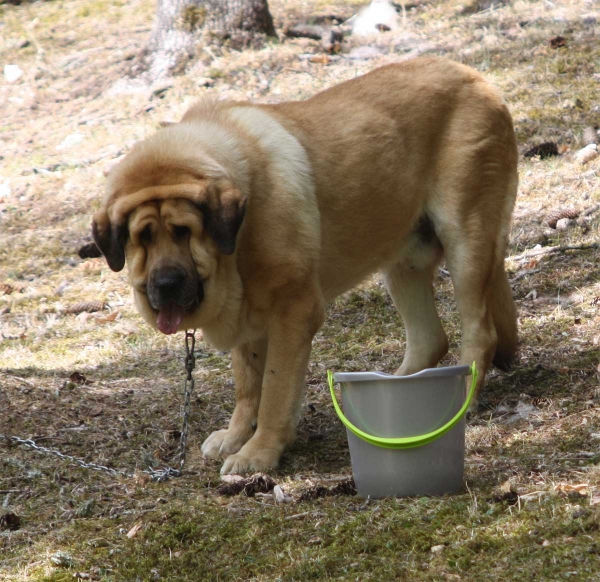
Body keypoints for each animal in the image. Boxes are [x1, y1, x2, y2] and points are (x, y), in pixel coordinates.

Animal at [91, 57, 516, 476]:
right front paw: (236, 435)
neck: (238, 238)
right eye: (142, 238)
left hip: (466, 242)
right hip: (402, 260)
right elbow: (248, 385)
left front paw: (258, 453)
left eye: (184, 231)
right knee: (430, 339)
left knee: (480, 333)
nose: (166, 283)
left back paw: (462, 399)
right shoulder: (248, 321)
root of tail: (477, 78)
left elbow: (275, 391)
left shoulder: (293, 312)